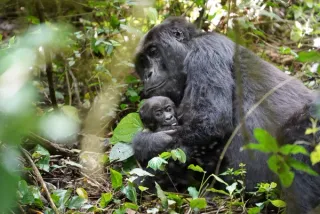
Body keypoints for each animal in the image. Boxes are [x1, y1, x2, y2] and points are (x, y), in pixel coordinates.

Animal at [133, 16, 320, 212]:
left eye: (154, 51)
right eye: (142, 63)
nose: (147, 75)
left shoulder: (206, 50)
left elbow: (210, 121)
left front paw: (146, 143)